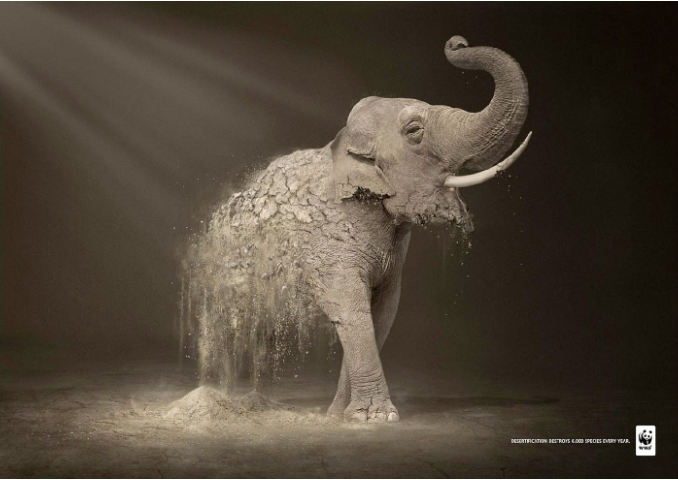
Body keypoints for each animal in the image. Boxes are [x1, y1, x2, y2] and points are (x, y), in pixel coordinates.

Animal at [182, 35, 531, 423]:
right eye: (415, 132)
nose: (457, 42)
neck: (342, 146)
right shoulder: (328, 245)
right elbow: (350, 309)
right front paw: (376, 418)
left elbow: (383, 313)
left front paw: (339, 415)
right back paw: (218, 400)